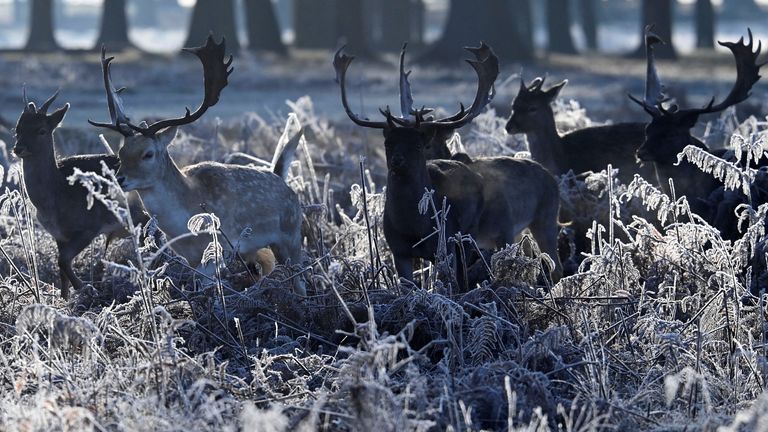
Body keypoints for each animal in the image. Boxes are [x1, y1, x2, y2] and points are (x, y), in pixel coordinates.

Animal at [10, 90, 148, 300]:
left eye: (42, 130)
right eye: (17, 129)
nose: (18, 148)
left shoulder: (89, 227)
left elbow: (63, 261)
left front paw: (85, 288)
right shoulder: (58, 235)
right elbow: (61, 269)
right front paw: (65, 298)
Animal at [336, 43, 564, 286]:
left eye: (418, 145)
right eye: (388, 143)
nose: (398, 160)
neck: (412, 227)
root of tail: (549, 175)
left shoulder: (445, 245)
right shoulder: (399, 250)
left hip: (526, 223)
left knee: (550, 264)